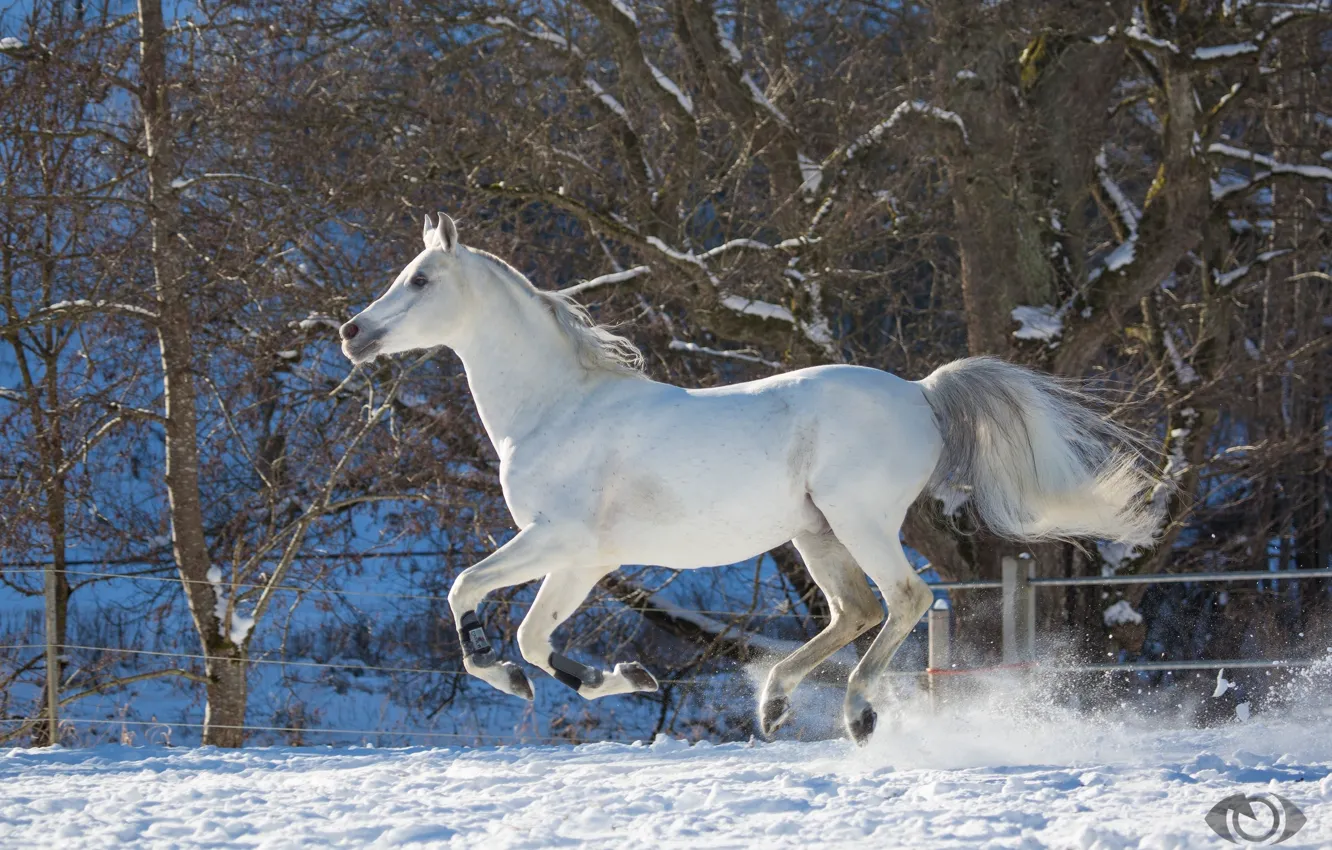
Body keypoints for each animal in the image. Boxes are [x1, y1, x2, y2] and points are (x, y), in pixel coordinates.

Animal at [340, 213, 1156, 746]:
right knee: (856, 610)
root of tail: (921, 393)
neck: (555, 407)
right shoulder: (584, 559)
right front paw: (626, 678)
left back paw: (858, 714)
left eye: (419, 280)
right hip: (813, 531)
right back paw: (773, 704)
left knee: (905, 599)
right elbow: (537, 638)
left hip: (859, 520)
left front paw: (496, 667)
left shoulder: (557, 541)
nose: (352, 333)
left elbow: (466, 590)